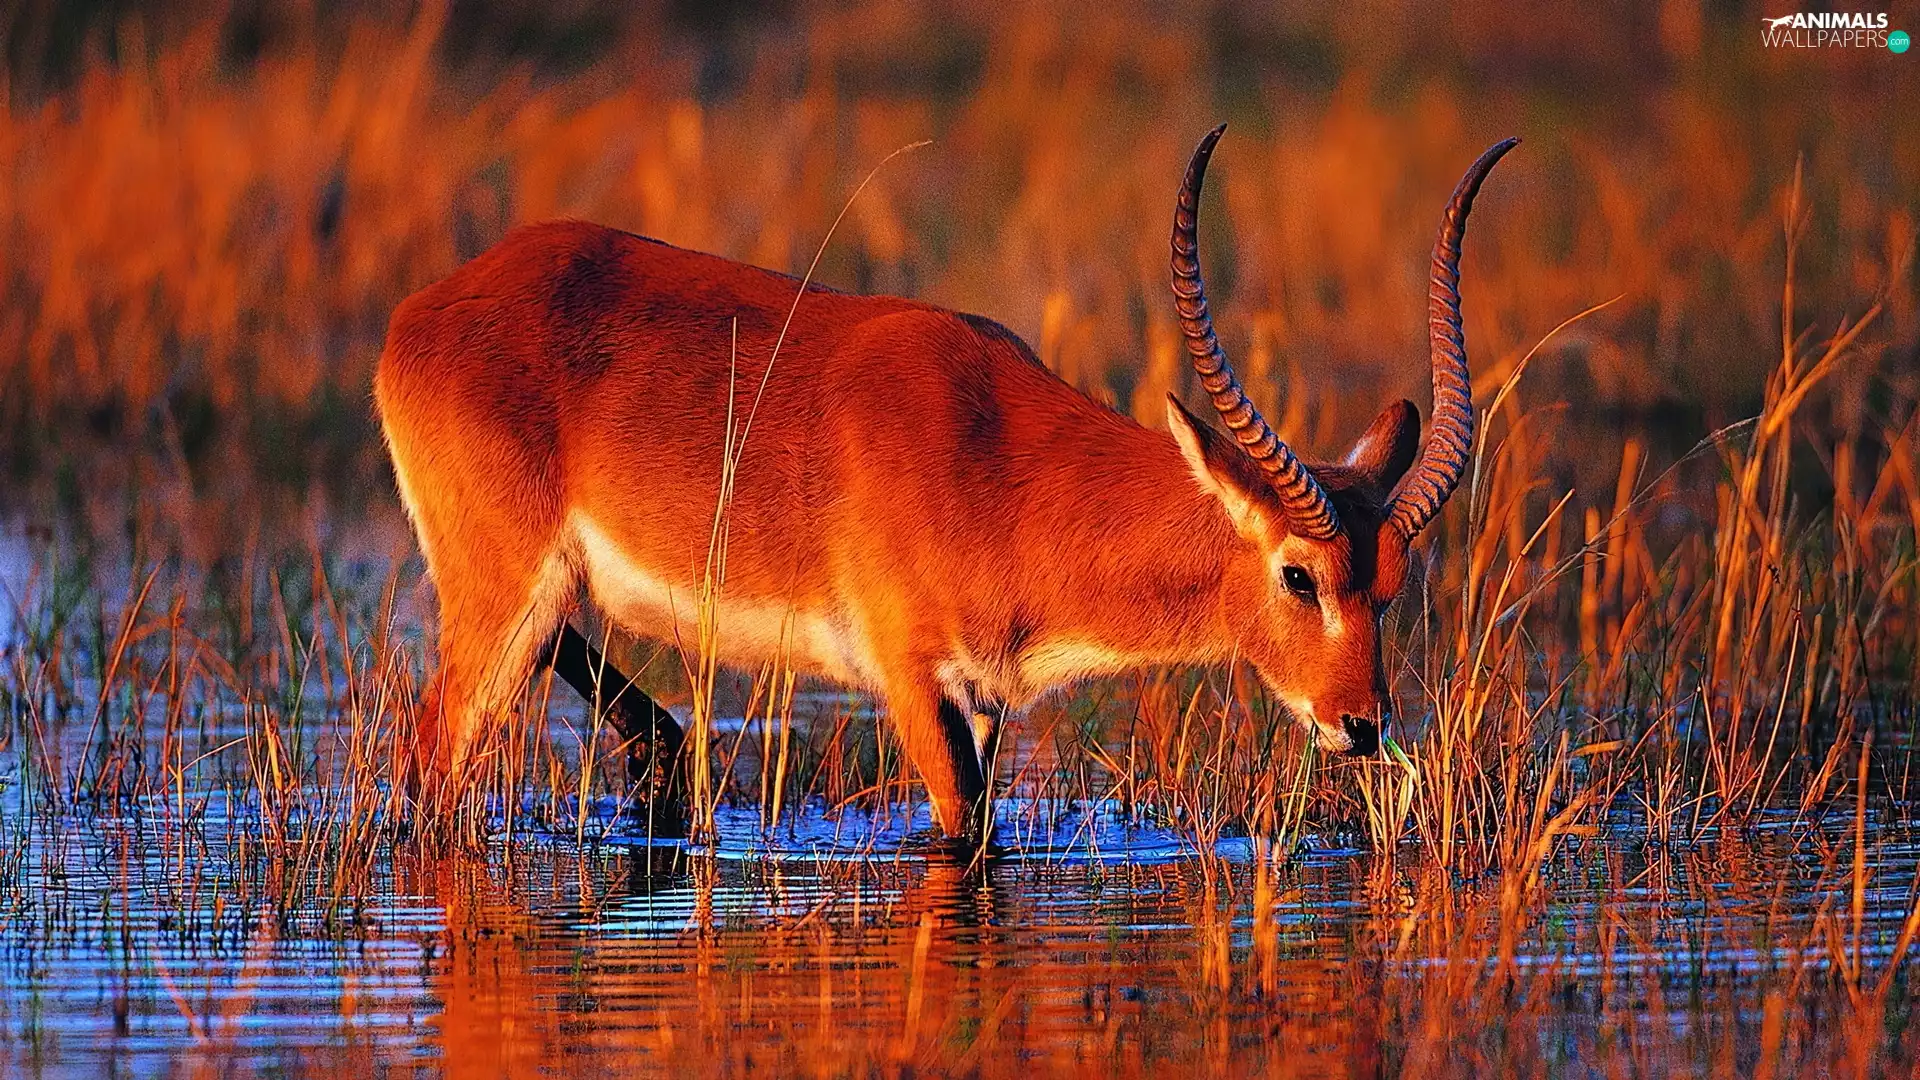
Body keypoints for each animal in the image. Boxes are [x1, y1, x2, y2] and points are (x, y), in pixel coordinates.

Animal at [374, 125, 1517, 838]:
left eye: (1390, 586)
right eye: (1298, 575)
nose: (1361, 724)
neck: (998, 466)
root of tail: (423, 310)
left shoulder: (984, 698)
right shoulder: (911, 679)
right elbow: (959, 830)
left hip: (540, 596)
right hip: (498, 599)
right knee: (429, 764)